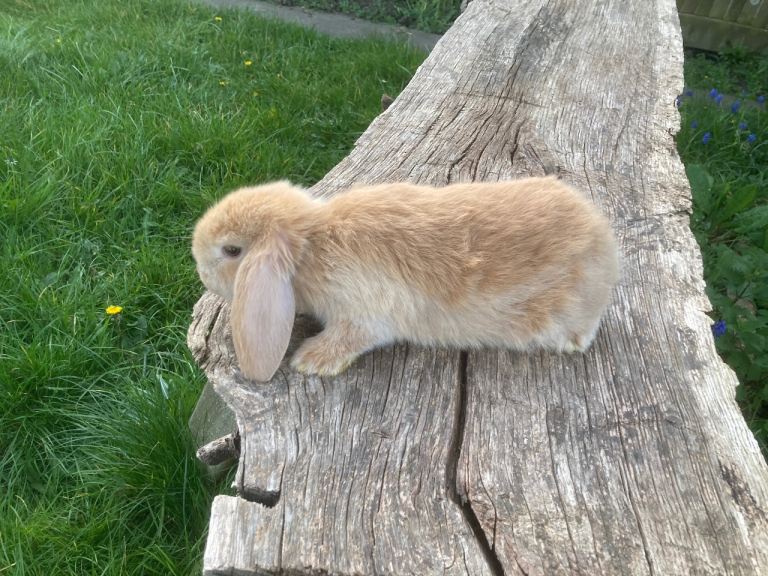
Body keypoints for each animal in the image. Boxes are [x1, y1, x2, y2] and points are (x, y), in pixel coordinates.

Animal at [192, 177, 620, 382]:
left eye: (232, 250)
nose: (200, 269)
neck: (312, 244)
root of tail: (604, 242)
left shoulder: (362, 315)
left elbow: (348, 338)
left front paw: (309, 360)